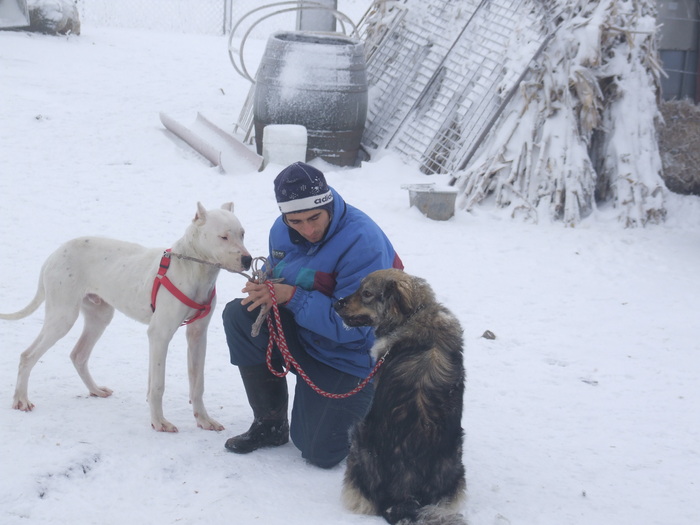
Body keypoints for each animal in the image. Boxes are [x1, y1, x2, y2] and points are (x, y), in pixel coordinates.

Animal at [0, 201, 252, 430]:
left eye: (242, 234)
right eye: (223, 237)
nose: (248, 260)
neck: (194, 269)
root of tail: (55, 253)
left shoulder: (198, 336)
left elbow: (197, 384)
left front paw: (204, 420)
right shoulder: (160, 335)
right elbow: (158, 385)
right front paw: (159, 422)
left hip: (99, 316)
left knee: (78, 355)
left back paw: (95, 390)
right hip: (62, 316)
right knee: (27, 355)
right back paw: (21, 399)